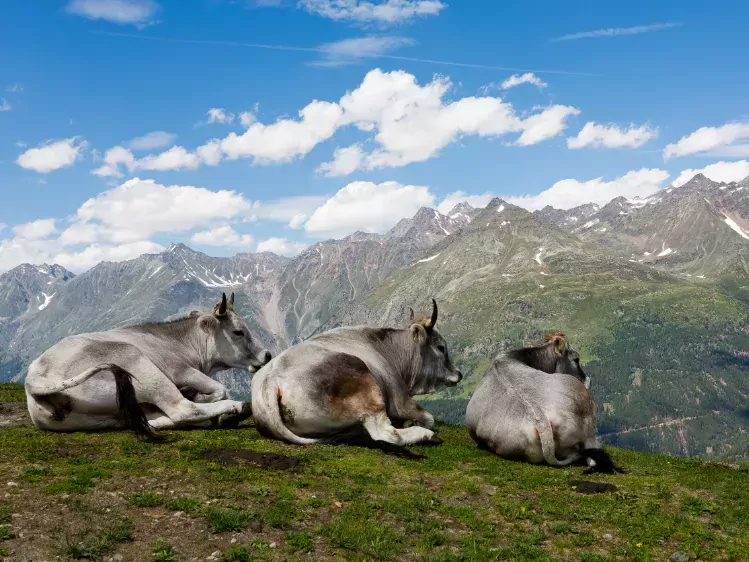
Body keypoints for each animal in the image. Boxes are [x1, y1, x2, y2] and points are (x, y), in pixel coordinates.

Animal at [24, 293, 272, 435]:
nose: (267, 355)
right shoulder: (180, 369)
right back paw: (233, 409)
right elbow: (222, 388)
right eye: (238, 331)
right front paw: (201, 395)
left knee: (153, 421)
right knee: (182, 410)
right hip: (134, 360)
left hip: (108, 416)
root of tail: (34, 378)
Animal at [251, 300, 462, 448]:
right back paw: (426, 435)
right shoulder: (400, 399)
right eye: (441, 347)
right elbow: (429, 419)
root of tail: (271, 379)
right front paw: (414, 423)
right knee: (385, 433)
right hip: (363, 380)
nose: (459, 373)